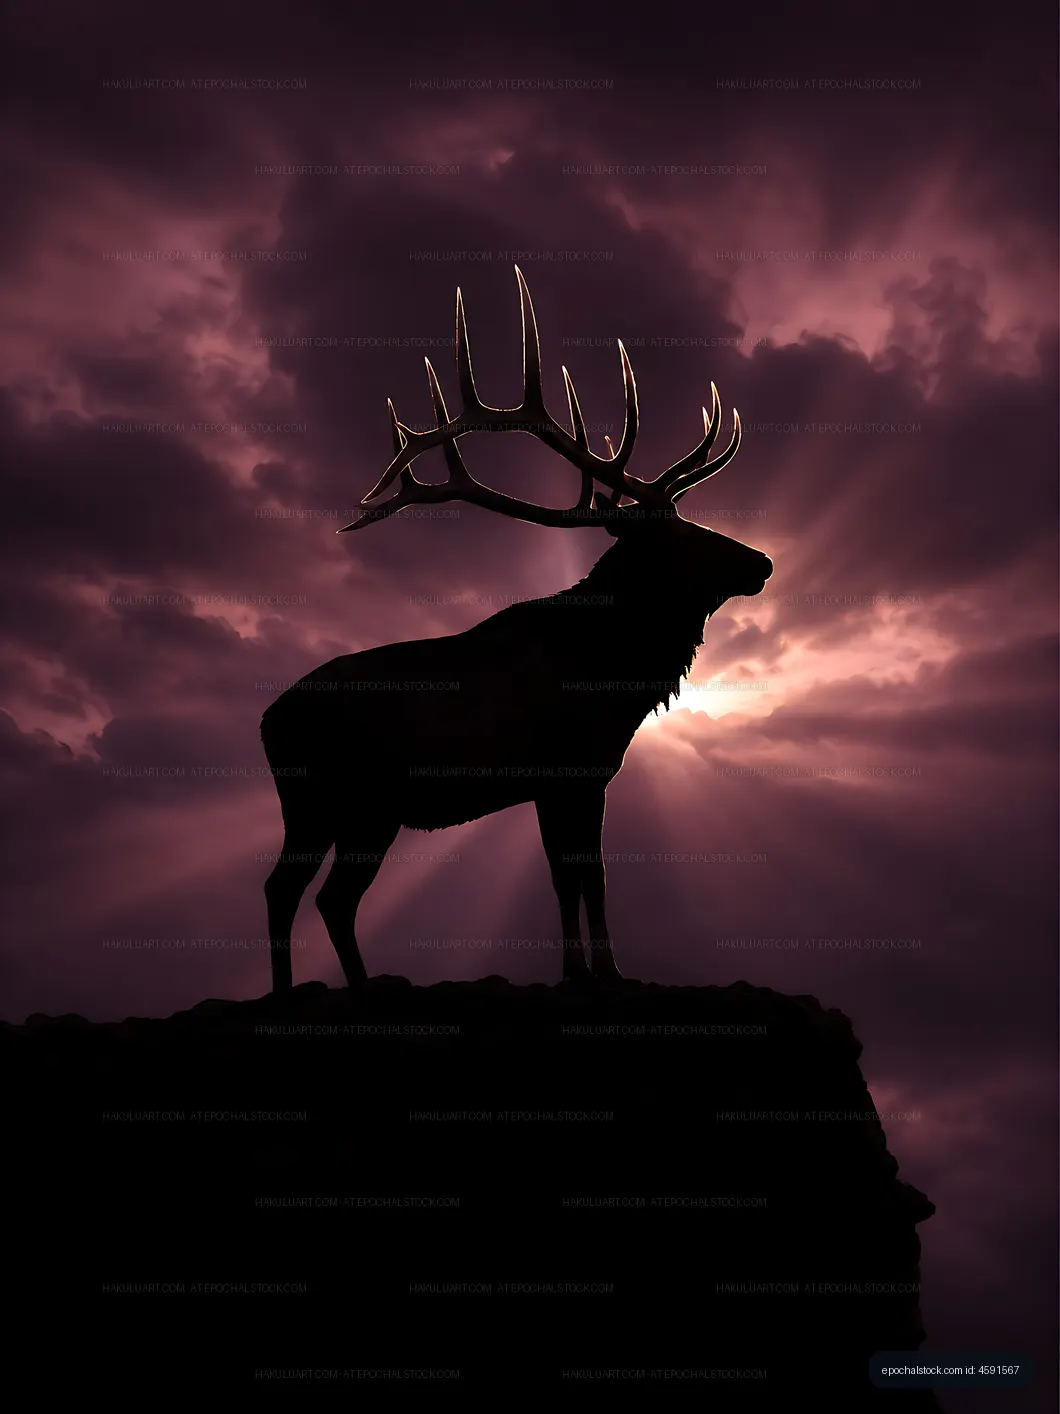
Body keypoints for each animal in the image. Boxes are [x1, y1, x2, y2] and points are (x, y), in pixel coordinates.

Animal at [261, 267, 772, 994]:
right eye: (682, 537)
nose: (762, 561)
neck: (613, 679)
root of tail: (265, 722)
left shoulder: (581, 777)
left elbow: (583, 877)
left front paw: (594, 969)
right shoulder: (564, 771)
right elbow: (577, 877)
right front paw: (591, 972)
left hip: (360, 811)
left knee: (324, 896)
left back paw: (354, 986)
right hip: (328, 799)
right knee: (294, 890)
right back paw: (294, 991)